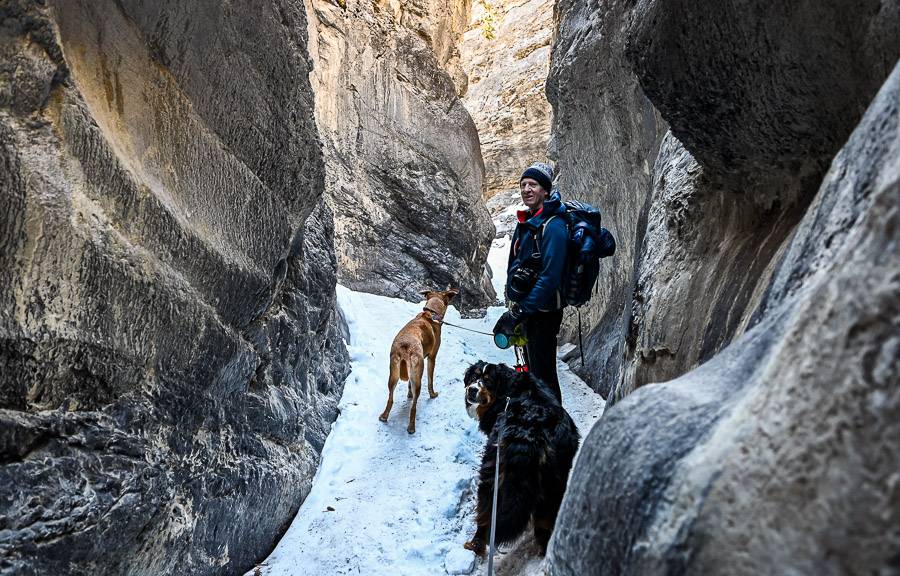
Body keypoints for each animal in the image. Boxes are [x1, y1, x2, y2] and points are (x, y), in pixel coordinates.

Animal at [380, 288, 460, 432]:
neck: (431, 313)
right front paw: (433, 394)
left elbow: (409, 384)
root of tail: (405, 347)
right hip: (418, 373)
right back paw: (411, 427)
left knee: (390, 398)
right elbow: (430, 380)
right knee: (414, 406)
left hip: (393, 373)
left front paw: (409, 394)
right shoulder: (432, 358)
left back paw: (384, 416)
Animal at [460, 362, 580, 556]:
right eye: (473, 377)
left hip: (491, 469)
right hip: (555, 479)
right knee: (545, 518)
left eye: (488, 380)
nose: (471, 390)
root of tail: (530, 434)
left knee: (486, 513)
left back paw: (476, 543)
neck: (508, 391)